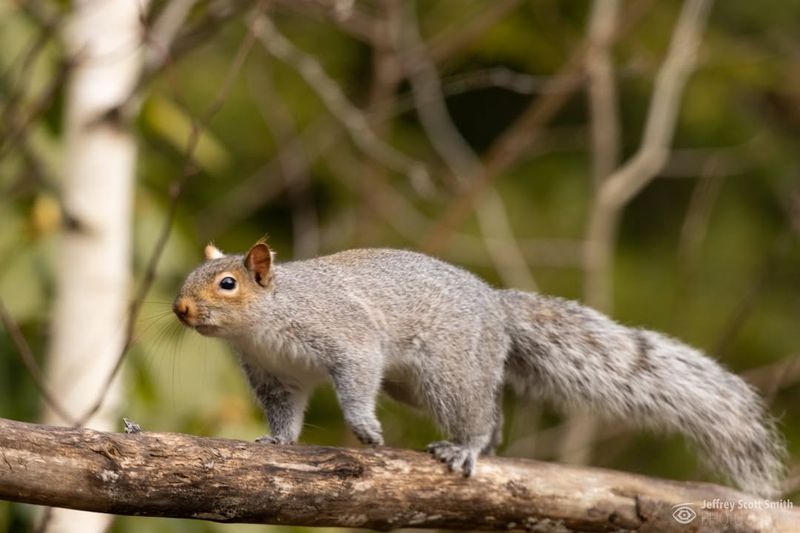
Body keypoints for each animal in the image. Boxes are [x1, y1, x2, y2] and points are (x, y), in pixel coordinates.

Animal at [172, 239, 784, 496]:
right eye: (186, 278)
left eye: (227, 283)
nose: (180, 309)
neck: (263, 325)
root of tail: (495, 307)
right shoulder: (273, 374)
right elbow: (285, 413)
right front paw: (275, 443)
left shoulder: (346, 336)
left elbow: (356, 379)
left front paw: (365, 429)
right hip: (415, 386)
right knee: (492, 414)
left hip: (449, 371)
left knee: (477, 413)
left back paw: (467, 448)